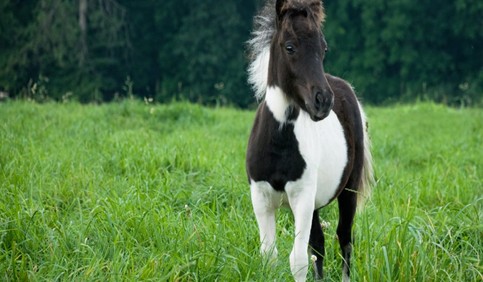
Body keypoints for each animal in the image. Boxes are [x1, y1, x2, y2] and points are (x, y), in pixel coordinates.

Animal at [246, 0, 374, 282]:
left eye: (323, 47)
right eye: (289, 46)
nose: (323, 101)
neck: (279, 143)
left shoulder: (301, 198)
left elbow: (298, 260)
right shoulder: (261, 199)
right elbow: (269, 257)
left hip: (347, 191)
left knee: (344, 239)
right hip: (315, 204)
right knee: (319, 244)